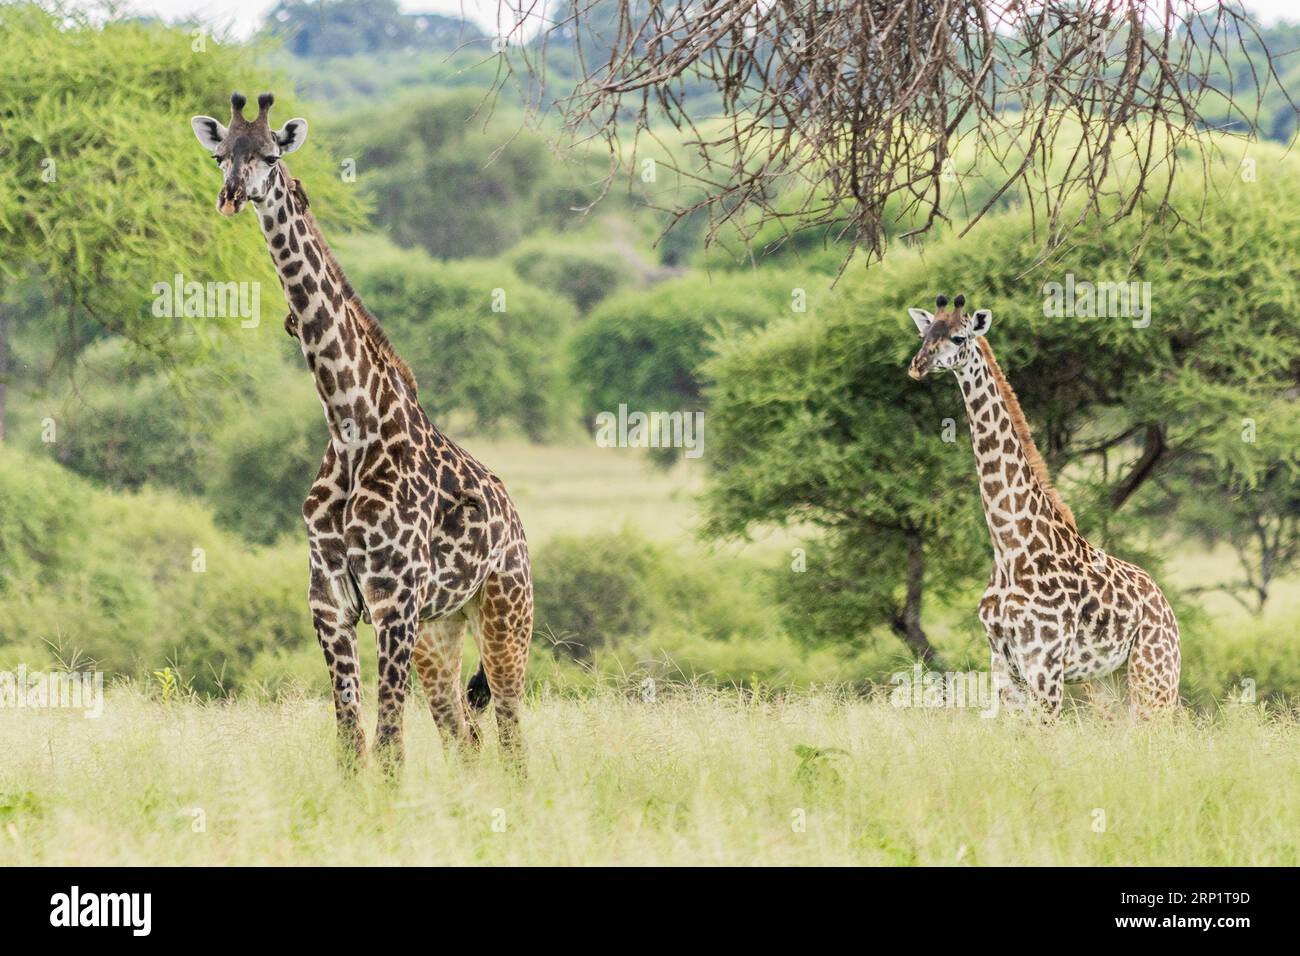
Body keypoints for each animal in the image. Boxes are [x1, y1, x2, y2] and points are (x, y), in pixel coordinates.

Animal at [191, 92, 533, 771]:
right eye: (222, 156)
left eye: (271, 155)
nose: (235, 195)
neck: (351, 424)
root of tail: (517, 523)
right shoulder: (331, 602)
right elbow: (352, 744)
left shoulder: (393, 601)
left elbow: (390, 743)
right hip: (441, 628)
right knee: (465, 737)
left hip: (506, 615)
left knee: (511, 733)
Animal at [906, 294, 1180, 719]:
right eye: (924, 334)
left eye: (958, 337)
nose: (917, 365)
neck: (1009, 547)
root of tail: (1165, 604)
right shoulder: (1003, 666)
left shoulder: (1044, 666)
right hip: (1107, 681)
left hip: (1155, 671)